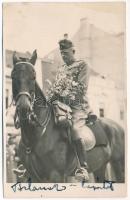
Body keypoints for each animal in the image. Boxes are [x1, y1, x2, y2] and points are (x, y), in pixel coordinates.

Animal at [10, 50, 125, 183]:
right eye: (13, 76)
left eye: (33, 77)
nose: (24, 108)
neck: (36, 136)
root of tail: (117, 127)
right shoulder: (34, 177)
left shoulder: (57, 175)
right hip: (100, 167)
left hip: (118, 164)